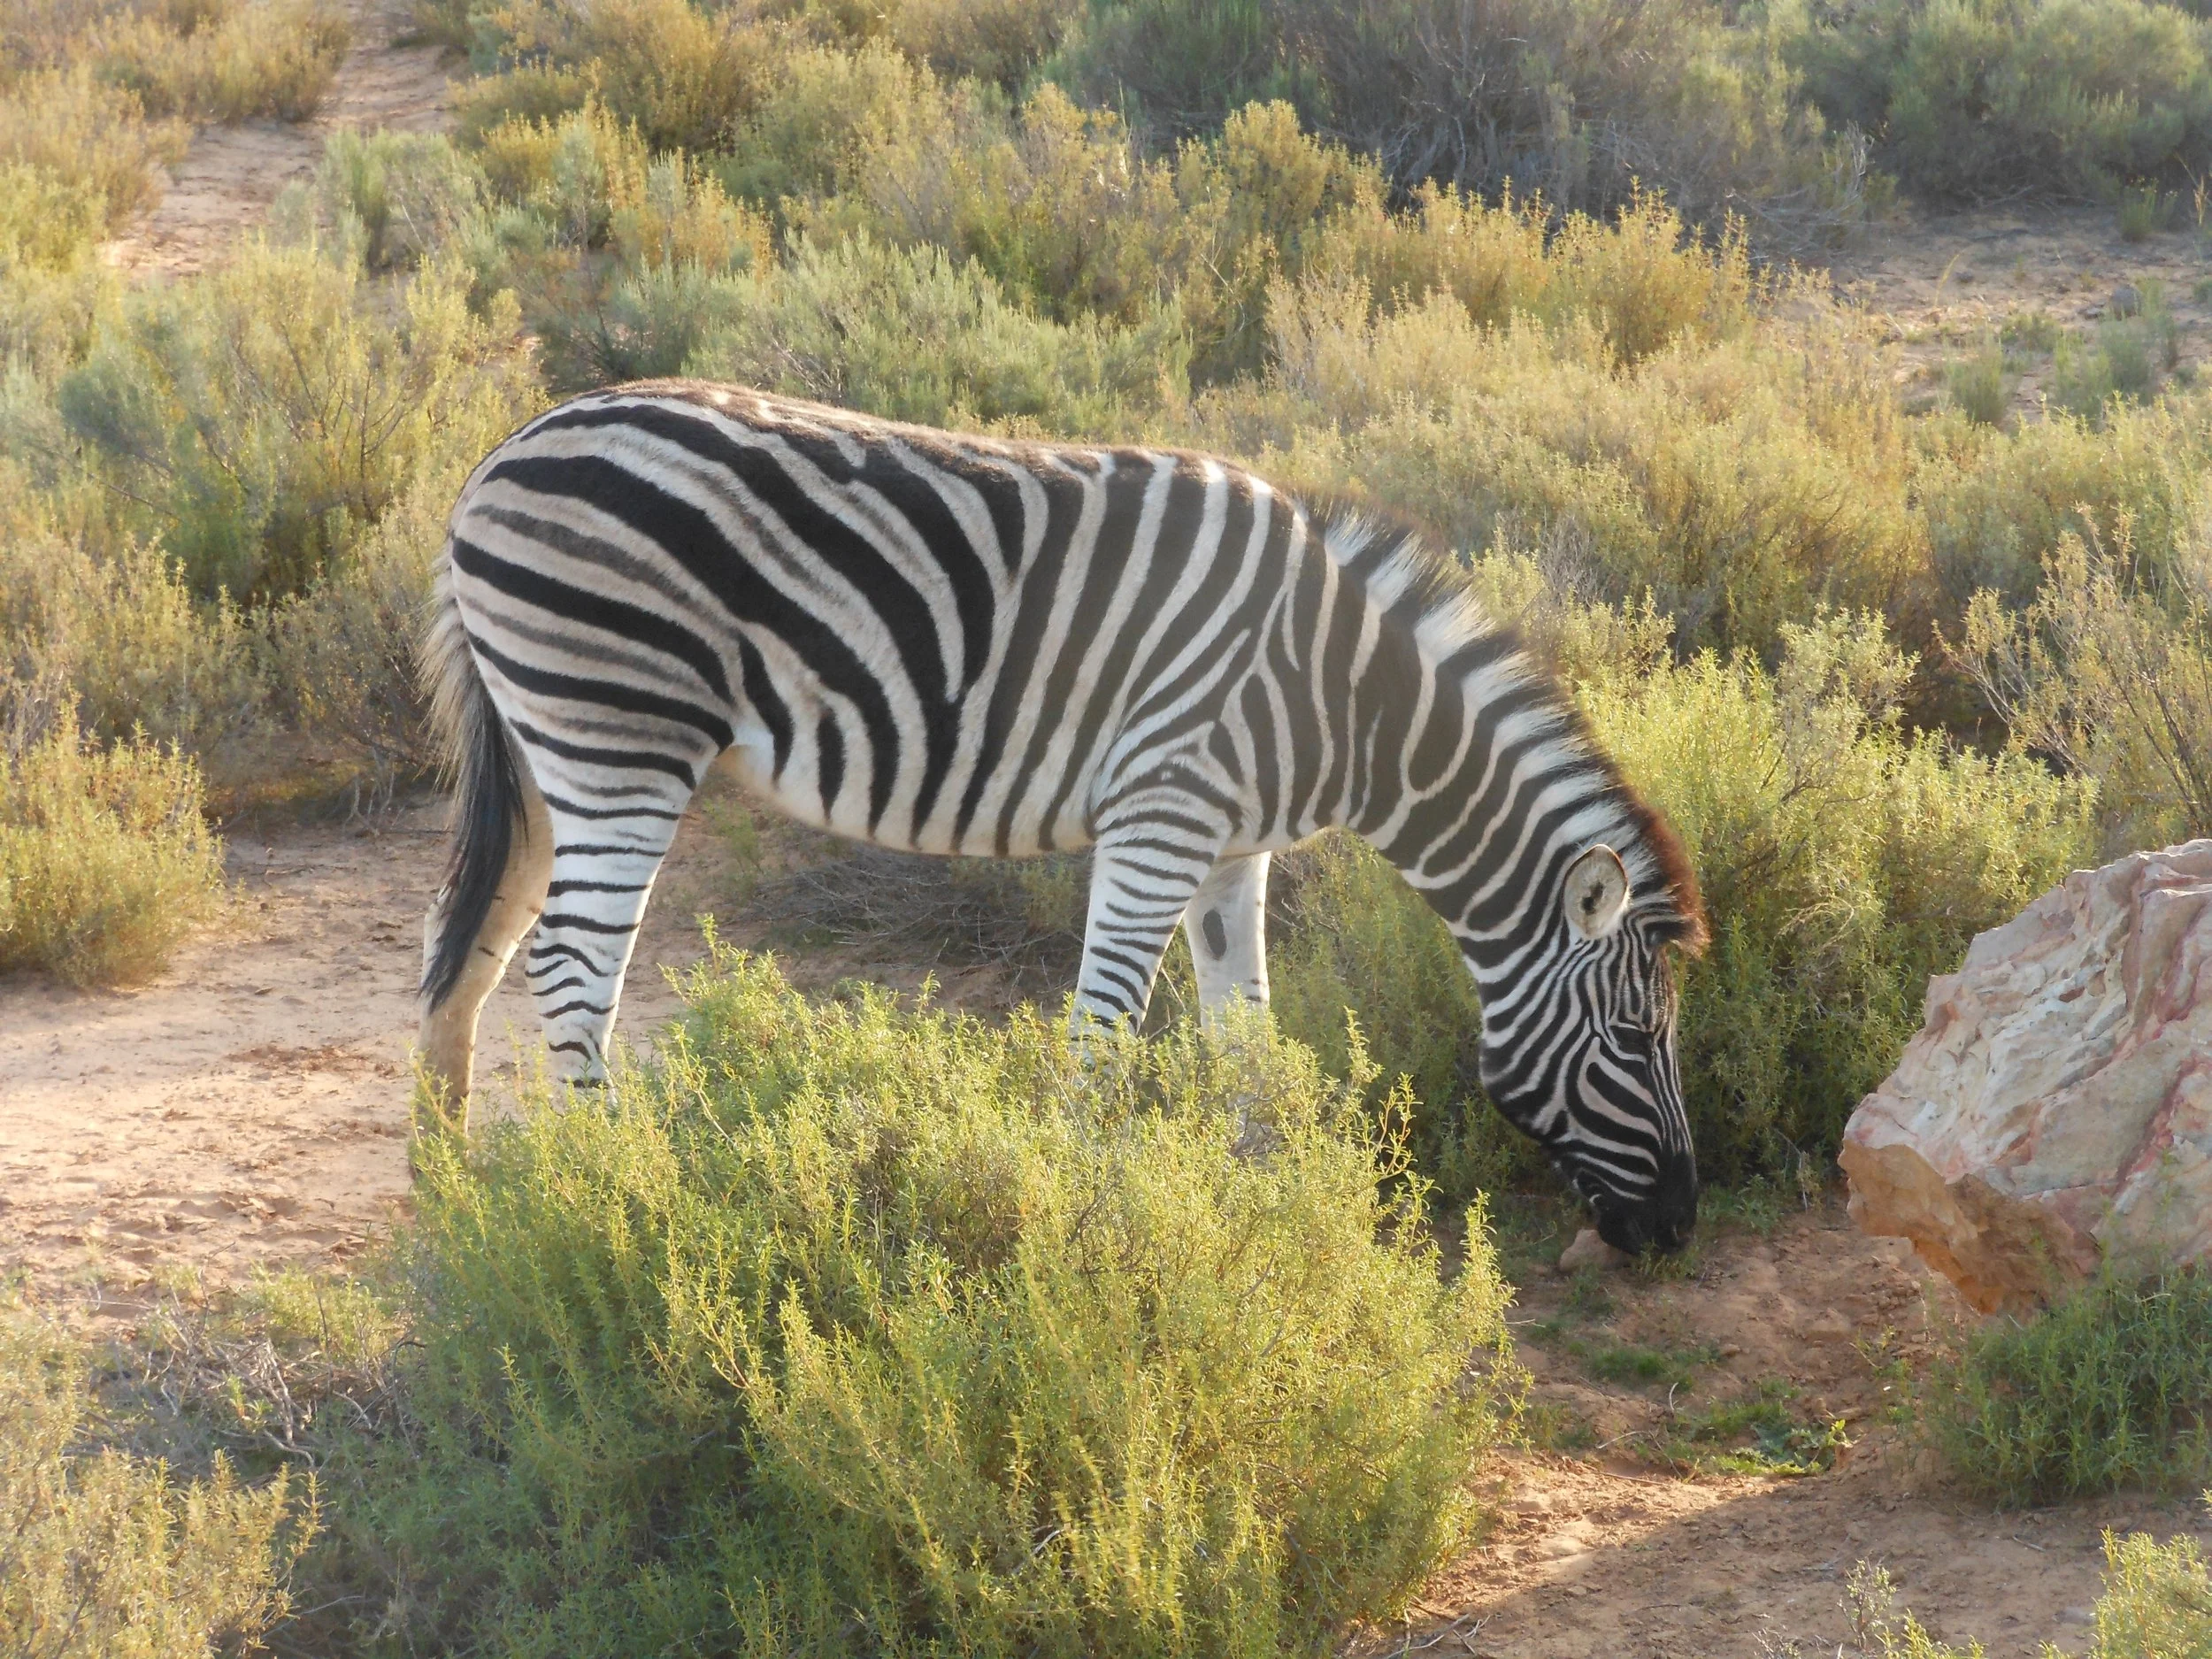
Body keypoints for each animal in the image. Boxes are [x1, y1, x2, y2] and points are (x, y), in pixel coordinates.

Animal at [418, 382, 1709, 1253]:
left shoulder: (1232, 850)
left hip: (546, 744)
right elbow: (1105, 1033)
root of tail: (501, 452)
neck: (1346, 698)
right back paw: (614, 1197)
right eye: (1633, 1039)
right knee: (572, 964)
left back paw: (452, 1196)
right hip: (622, 735)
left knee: (467, 950)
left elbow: (1247, 1035)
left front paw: (1274, 1202)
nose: (1680, 1224)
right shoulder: (1161, 818)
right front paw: (1084, 1222)